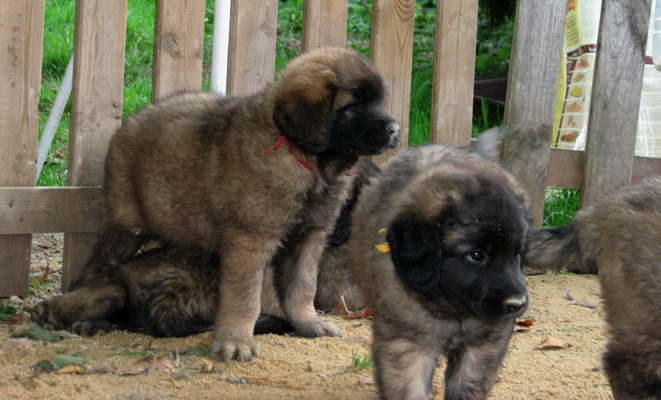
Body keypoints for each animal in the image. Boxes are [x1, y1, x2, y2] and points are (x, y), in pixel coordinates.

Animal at [31, 47, 398, 362]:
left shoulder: (309, 238)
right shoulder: (250, 240)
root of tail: (135, 118)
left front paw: (308, 325)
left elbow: (300, 289)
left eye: (379, 101)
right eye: (354, 105)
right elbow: (244, 298)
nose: (395, 129)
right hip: (125, 224)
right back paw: (62, 311)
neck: (308, 162)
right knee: (96, 272)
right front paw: (236, 342)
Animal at [348, 132, 528, 400]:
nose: (517, 304)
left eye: (517, 254)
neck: (453, 313)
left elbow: (467, 388)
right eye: (476, 255)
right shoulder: (407, 345)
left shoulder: (484, 345)